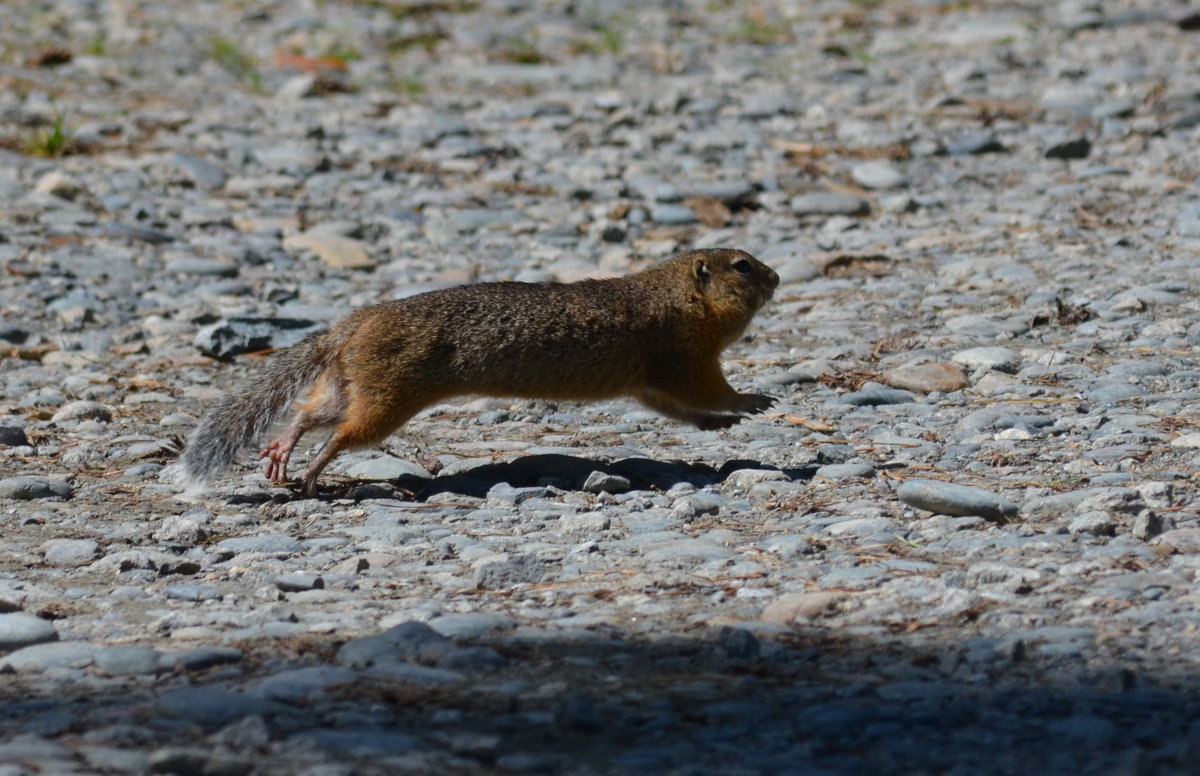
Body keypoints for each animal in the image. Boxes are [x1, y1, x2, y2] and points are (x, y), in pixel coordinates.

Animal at [177, 249, 777, 494]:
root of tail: (352, 324)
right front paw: (751, 402)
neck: (670, 295)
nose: (777, 278)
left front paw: (720, 426)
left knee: (306, 415)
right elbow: (707, 391)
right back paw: (311, 472)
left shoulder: (651, 381)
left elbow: (678, 409)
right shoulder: (685, 361)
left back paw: (282, 455)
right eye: (743, 266)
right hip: (386, 401)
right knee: (343, 435)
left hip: (350, 386)